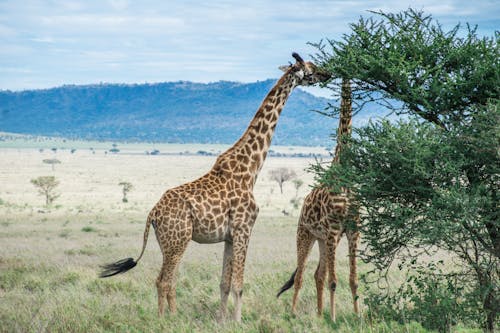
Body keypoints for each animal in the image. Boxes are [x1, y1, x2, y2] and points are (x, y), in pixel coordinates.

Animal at [99, 52, 330, 322]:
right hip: (178, 241)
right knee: (163, 280)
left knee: (167, 280)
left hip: (169, 243)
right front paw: (238, 322)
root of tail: (152, 214)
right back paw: (167, 320)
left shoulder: (229, 237)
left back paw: (169, 317)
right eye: (311, 69)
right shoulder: (244, 229)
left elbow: (224, 284)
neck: (251, 169)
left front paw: (221, 319)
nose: (328, 73)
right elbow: (239, 284)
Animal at [276, 78, 362, 322]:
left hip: (324, 240)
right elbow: (334, 281)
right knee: (301, 275)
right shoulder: (333, 230)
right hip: (306, 234)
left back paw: (319, 313)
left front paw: (358, 317)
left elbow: (353, 280)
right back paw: (294, 313)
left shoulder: (353, 229)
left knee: (318, 274)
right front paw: (334, 320)